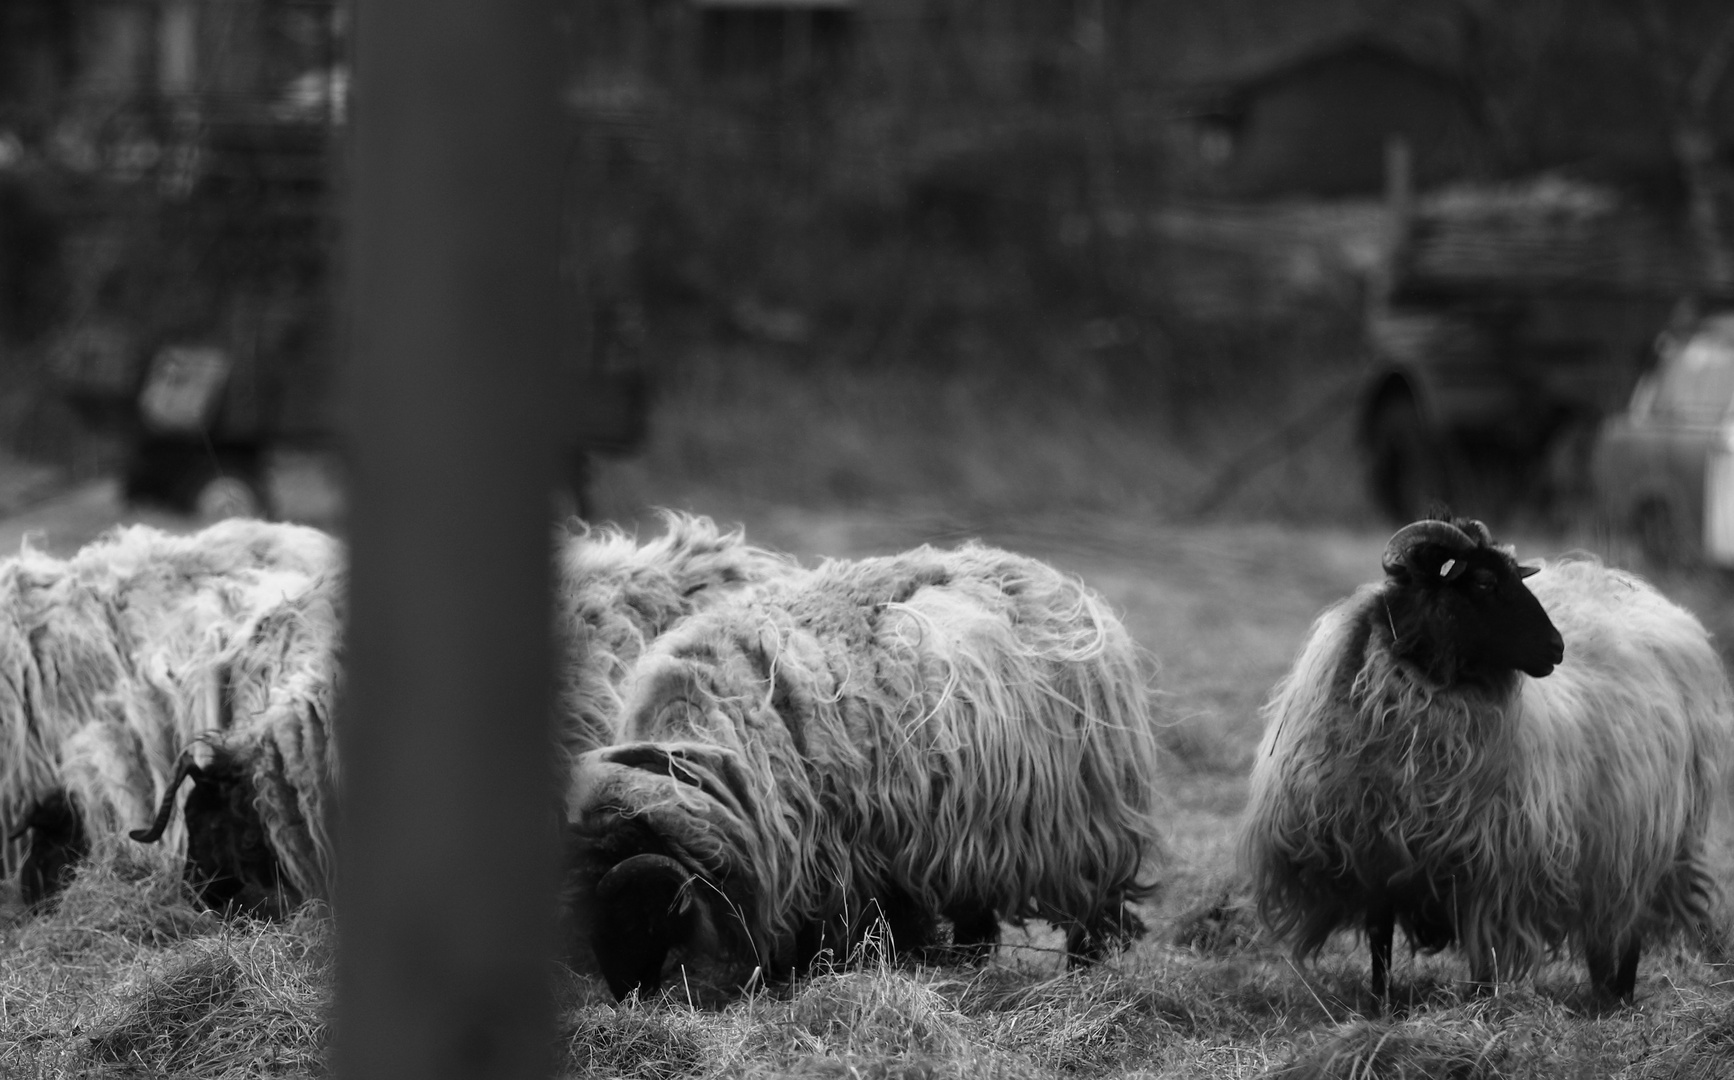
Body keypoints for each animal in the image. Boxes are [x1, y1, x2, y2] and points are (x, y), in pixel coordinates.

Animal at [568, 544, 1165, 998]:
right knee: (975, 912)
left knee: (1096, 913)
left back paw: (1087, 973)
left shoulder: (866, 856)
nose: (633, 1001)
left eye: (643, 922)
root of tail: (1054, 578)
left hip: (1085, 830)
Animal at [1248, 520, 1734, 998]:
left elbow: (1483, 957)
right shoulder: (1371, 855)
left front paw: (1478, 1008)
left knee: (1630, 926)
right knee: (1602, 930)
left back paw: (1620, 998)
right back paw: (1600, 997)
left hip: (1651, 839)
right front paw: (1377, 1006)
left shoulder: (1491, 871)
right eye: (1483, 581)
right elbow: (1379, 942)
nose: (1556, 647)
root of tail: (1652, 599)